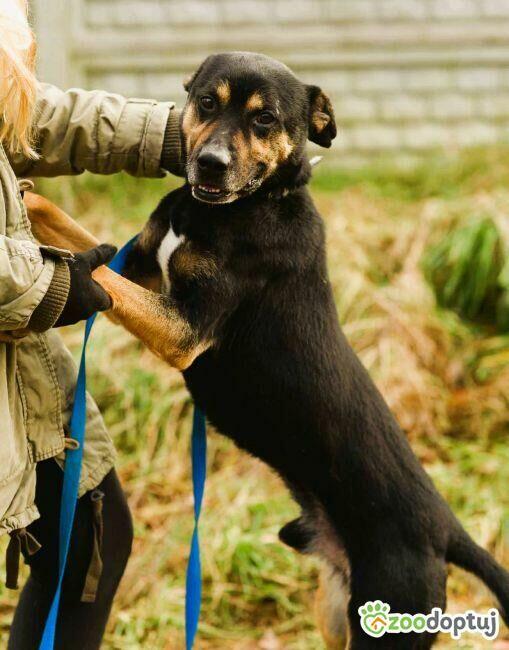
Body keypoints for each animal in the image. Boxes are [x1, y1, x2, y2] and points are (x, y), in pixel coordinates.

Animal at [26, 53, 508, 644]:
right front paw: (23, 193)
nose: (209, 165)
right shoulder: (138, 266)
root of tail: (447, 530)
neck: (239, 207)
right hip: (334, 613)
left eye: (264, 120)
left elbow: (98, 280)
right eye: (207, 102)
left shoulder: (181, 329)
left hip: (392, 613)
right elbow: (75, 237)